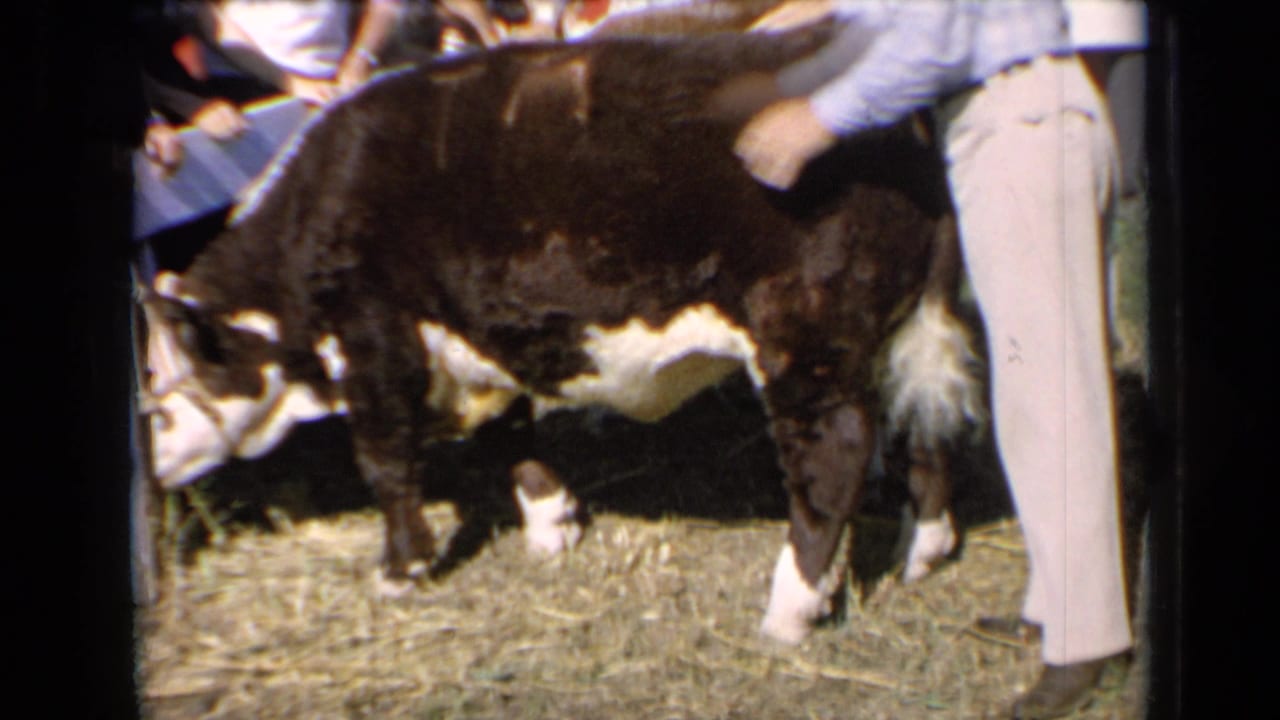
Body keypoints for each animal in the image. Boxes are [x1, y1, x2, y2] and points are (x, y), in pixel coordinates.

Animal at [140, 22, 984, 645]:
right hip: (908, 326)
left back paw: (790, 611)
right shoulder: (484, 333)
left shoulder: (372, 340)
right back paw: (924, 548)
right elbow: (511, 435)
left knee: (833, 456)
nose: (149, 469)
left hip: (804, 339)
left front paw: (400, 569)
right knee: (929, 427)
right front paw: (550, 526)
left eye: (154, 389)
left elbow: (386, 463)